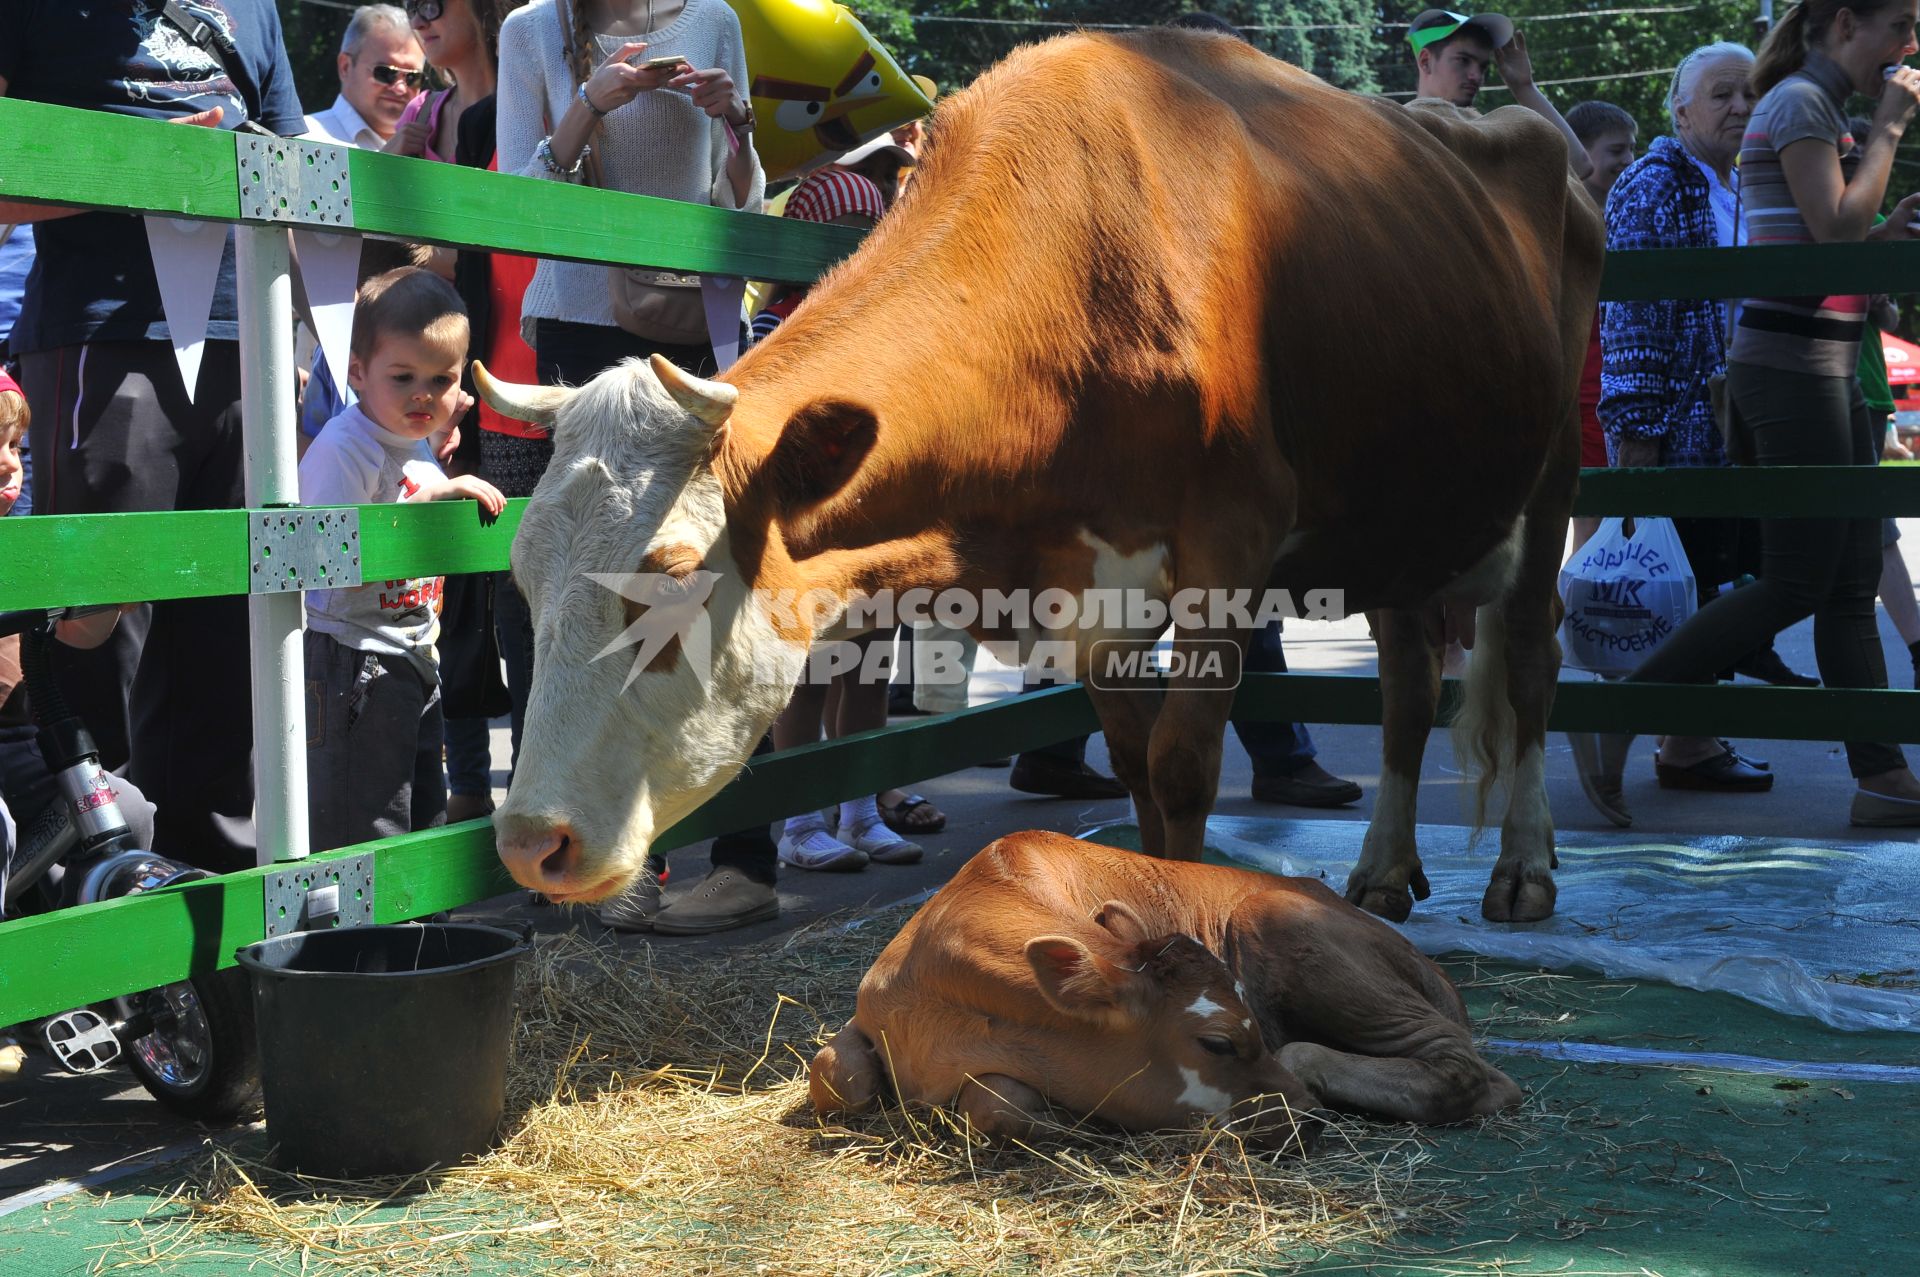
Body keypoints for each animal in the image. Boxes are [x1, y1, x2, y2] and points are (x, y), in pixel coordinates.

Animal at [476, 27, 1605, 917]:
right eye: (524, 579)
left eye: (668, 582)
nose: (530, 841)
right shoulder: (1091, 583)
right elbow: (1138, 768)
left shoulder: (1227, 545)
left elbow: (1183, 767)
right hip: (1403, 515)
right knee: (1410, 683)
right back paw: (1382, 868)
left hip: (1553, 475)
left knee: (1534, 661)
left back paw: (1526, 868)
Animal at [802, 833, 1520, 1136]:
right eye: (1218, 1042)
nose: (1307, 1118)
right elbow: (839, 1074)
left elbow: (997, 1106)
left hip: (1276, 917)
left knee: (1469, 1071)